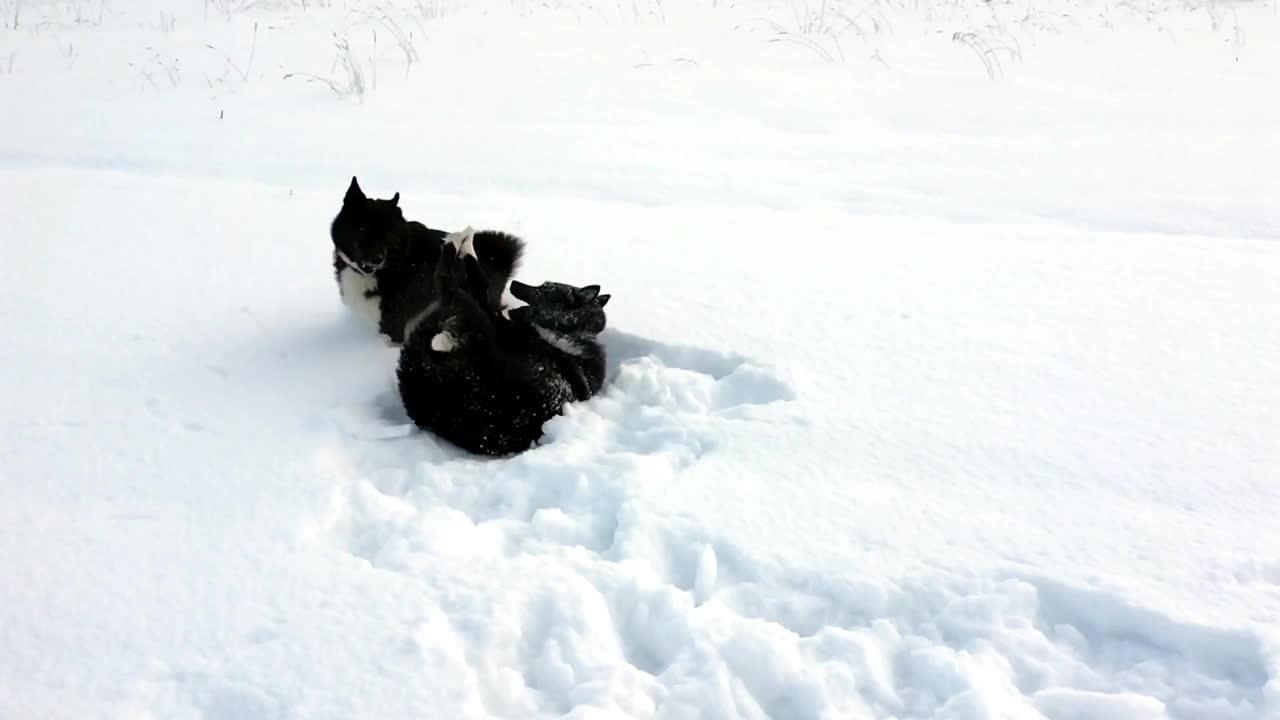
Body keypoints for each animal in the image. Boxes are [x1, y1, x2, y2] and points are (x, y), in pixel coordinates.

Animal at [394, 226, 609, 456]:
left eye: (544, 288)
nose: (514, 284)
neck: (571, 335)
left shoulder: (501, 323)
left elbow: (481, 284)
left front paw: (466, 247)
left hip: (471, 312)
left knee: (447, 283)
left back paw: (458, 242)